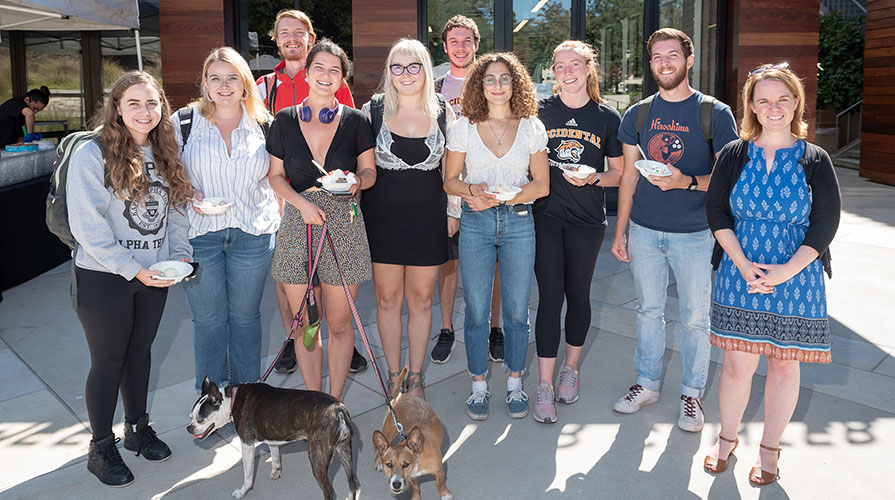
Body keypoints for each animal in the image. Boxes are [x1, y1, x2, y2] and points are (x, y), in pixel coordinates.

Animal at [187, 378, 358, 500]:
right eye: (190, 417)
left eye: (200, 420)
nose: (189, 428)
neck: (232, 400)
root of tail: (338, 409)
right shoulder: (272, 438)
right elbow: (275, 455)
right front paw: (276, 472)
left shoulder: (247, 445)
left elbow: (248, 475)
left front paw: (242, 492)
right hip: (345, 449)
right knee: (352, 482)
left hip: (318, 458)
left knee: (329, 491)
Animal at [372, 368, 452, 500]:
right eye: (389, 465)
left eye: (406, 464)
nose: (396, 484)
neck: (417, 460)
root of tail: (400, 395)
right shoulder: (411, 478)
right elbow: (415, 488)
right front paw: (415, 497)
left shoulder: (439, 471)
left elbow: (440, 484)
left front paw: (444, 494)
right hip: (387, 432)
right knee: (379, 450)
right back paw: (378, 462)